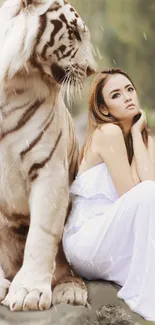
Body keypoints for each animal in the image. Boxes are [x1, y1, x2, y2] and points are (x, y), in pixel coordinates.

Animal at [0, 0, 96, 310]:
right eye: (74, 34)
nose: (92, 70)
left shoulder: (49, 169)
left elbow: (41, 236)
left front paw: (28, 293)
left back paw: (70, 291)